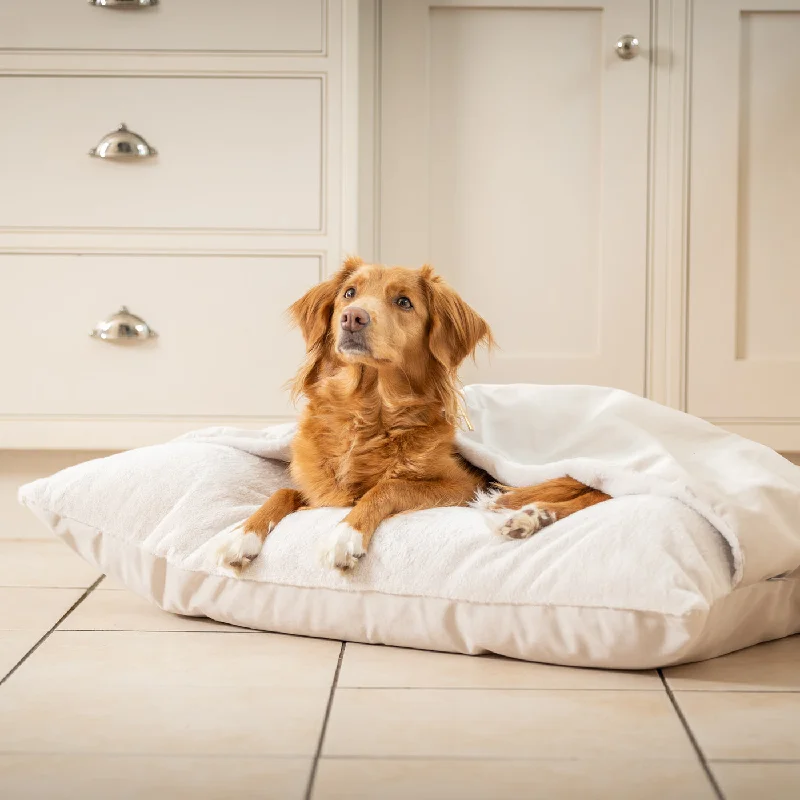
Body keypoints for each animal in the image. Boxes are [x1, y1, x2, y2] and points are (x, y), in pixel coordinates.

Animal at [216, 256, 608, 568]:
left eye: (404, 302)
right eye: (349, 294)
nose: (352, 318)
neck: (367, 413)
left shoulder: (461, 484)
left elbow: (389, 485)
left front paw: (345, 534)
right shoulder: (319, 492)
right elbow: (282, 493)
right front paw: (241, 534)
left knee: (599, 492)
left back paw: (528, 515)